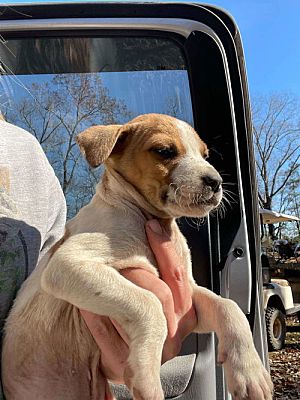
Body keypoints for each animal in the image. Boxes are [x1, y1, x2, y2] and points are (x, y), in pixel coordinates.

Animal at [1, 113, 274, 400]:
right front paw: (146, 376)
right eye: (164, 151)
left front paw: (250, 373)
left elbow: (229, 307)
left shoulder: (189, 294)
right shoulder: (67, 264)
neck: (146, 219)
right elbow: (149, 304)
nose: (216, 182)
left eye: (204, 154)